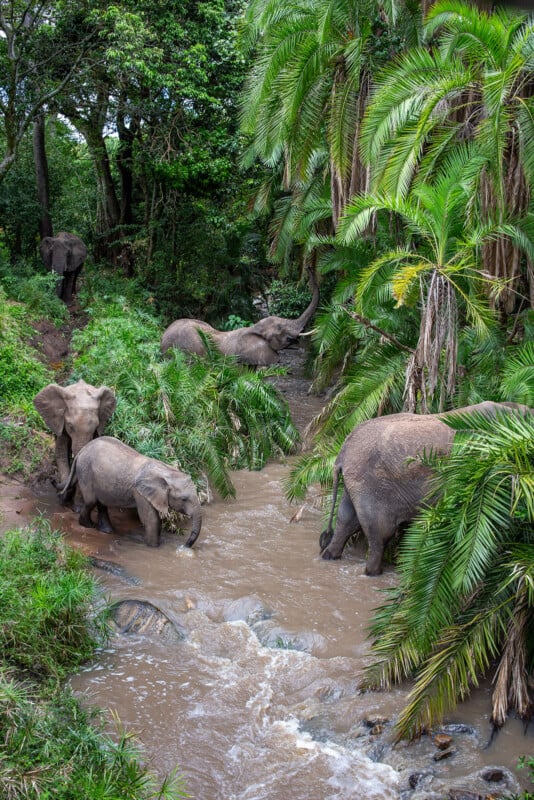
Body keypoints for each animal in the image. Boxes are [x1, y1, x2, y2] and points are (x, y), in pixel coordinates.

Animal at [57, 436, 202, 548]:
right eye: (183, 499)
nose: (185, 545)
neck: (166, 471)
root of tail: (82, 450)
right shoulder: (140, 493)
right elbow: (151, 519)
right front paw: (154, 547)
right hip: (85, 471)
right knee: (91, 501)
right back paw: (88, 525)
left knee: (100, 502)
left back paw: (106, 530)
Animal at [319, 401, 532, 576]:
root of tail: (342, 453)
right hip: (371, 484)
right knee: (380, 532)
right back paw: (374, 573)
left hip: (356, 482)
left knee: (346, 520)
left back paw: (329, 555)